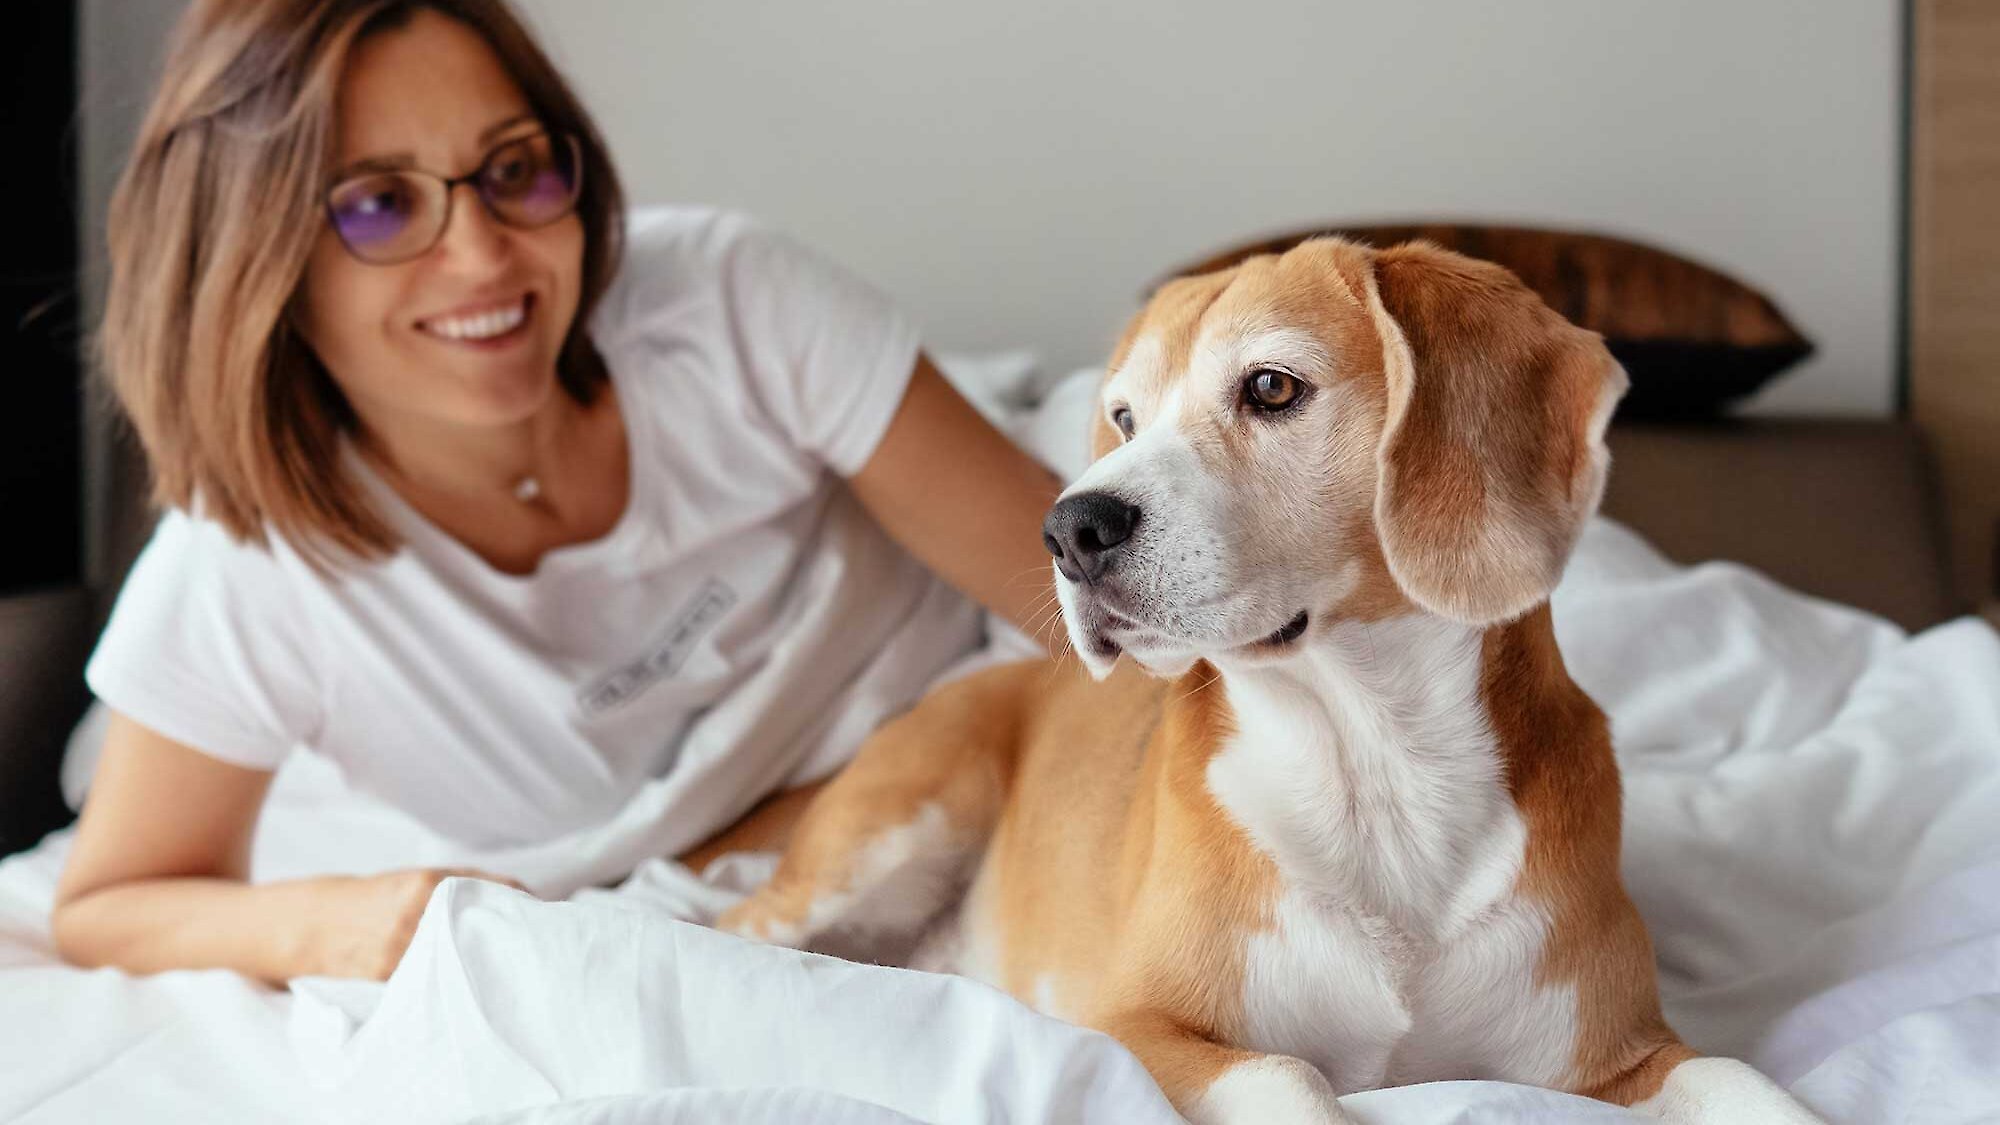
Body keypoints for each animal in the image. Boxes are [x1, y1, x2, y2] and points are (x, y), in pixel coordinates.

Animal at [720, 234, 1832, 1112]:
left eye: (1270, 387)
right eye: (1123, 419)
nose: (1068, 528)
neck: (1374, 762)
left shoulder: (1622, 1057)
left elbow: (1739, 1076)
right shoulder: (1132, 1027)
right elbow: (1285, 1072)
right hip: (892, 828)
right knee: (742, 926)